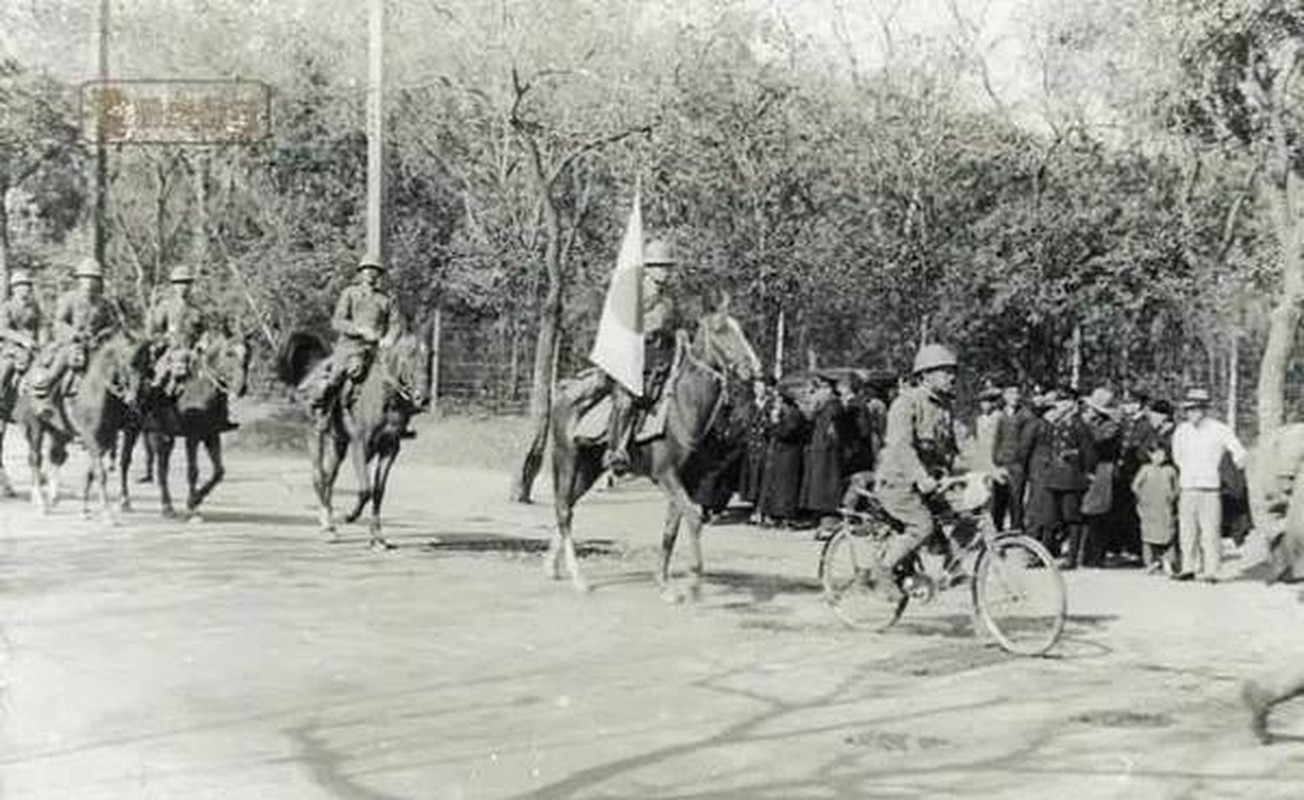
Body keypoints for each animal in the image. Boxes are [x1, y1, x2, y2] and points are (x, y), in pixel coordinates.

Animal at [15, 334, 141, 522]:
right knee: (36, 459)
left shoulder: (106, 440)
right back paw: (41, 503)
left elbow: (91, 473)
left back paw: (52, 499)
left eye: (142, 362)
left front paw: (85, 509)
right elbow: (100, 473)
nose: (133, 399)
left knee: (56, 457)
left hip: (59, 432)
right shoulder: (91, 438)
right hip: (36, 427)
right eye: (126, 362)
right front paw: (107, 514)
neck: (96, 394)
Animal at [118, 330, 250, 516]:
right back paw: (130, 501)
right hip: (134, 429)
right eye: (229, 353)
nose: (241, 388)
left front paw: (197, 498)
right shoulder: (192, 436)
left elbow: (219, 471)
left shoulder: (211, 435)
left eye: (248, 353)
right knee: (127, 461)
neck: (201, 387)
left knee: (161, 466)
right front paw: (192, 502)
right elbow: (193, 471)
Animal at [277, 321, 435, 545]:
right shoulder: (360, 444)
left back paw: (328, 521)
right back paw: (328, 526)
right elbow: (365, 489)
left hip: (338, 442)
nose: (423, 398)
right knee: (318, 475)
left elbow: (377, 491)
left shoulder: (389, 449)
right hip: (315, 434)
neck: (385, 399)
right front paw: (348, 516)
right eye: (408, 355)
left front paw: (377, 536)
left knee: (329, 477)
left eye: (429, 355)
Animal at [545, 305, 761, 600]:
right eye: (721, 330)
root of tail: (563, 392)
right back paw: (579, 579)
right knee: (564, 512)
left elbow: (671, 530)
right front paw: (693, 583)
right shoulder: (666, 475)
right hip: (567, 460)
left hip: (589, 469)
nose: (753, 368)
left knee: (566, 506)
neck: (684, 405)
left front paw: (664, 584)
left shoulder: (686, 481)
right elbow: (694, 519)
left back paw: (552, 567)